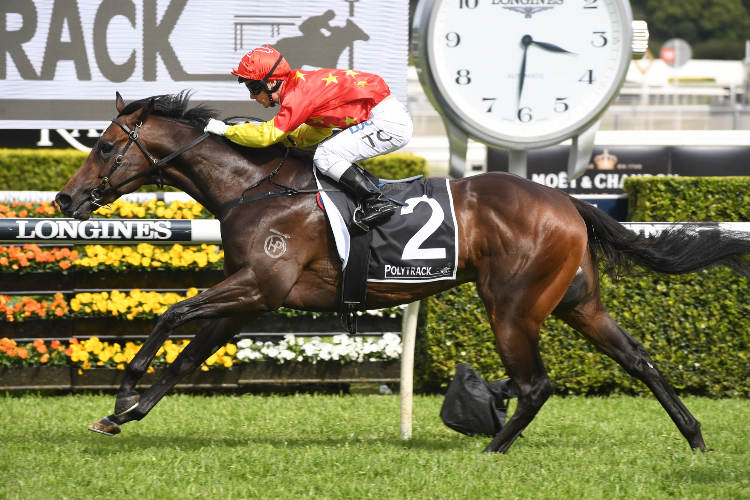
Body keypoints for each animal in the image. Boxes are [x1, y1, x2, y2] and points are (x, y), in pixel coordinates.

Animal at [55, 93, 750, 454]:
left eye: (105, 145)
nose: (64, 200)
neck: (252, 188)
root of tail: (565, 199)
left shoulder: (258, 286)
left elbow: (171, 314)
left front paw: (122, 392)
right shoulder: (248, 299)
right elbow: (186, 358)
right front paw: (122, 415)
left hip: (512, 306)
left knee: (536, 385)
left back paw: (491, 448)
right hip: (578, 302)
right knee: (639, 359)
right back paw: (695, 439)